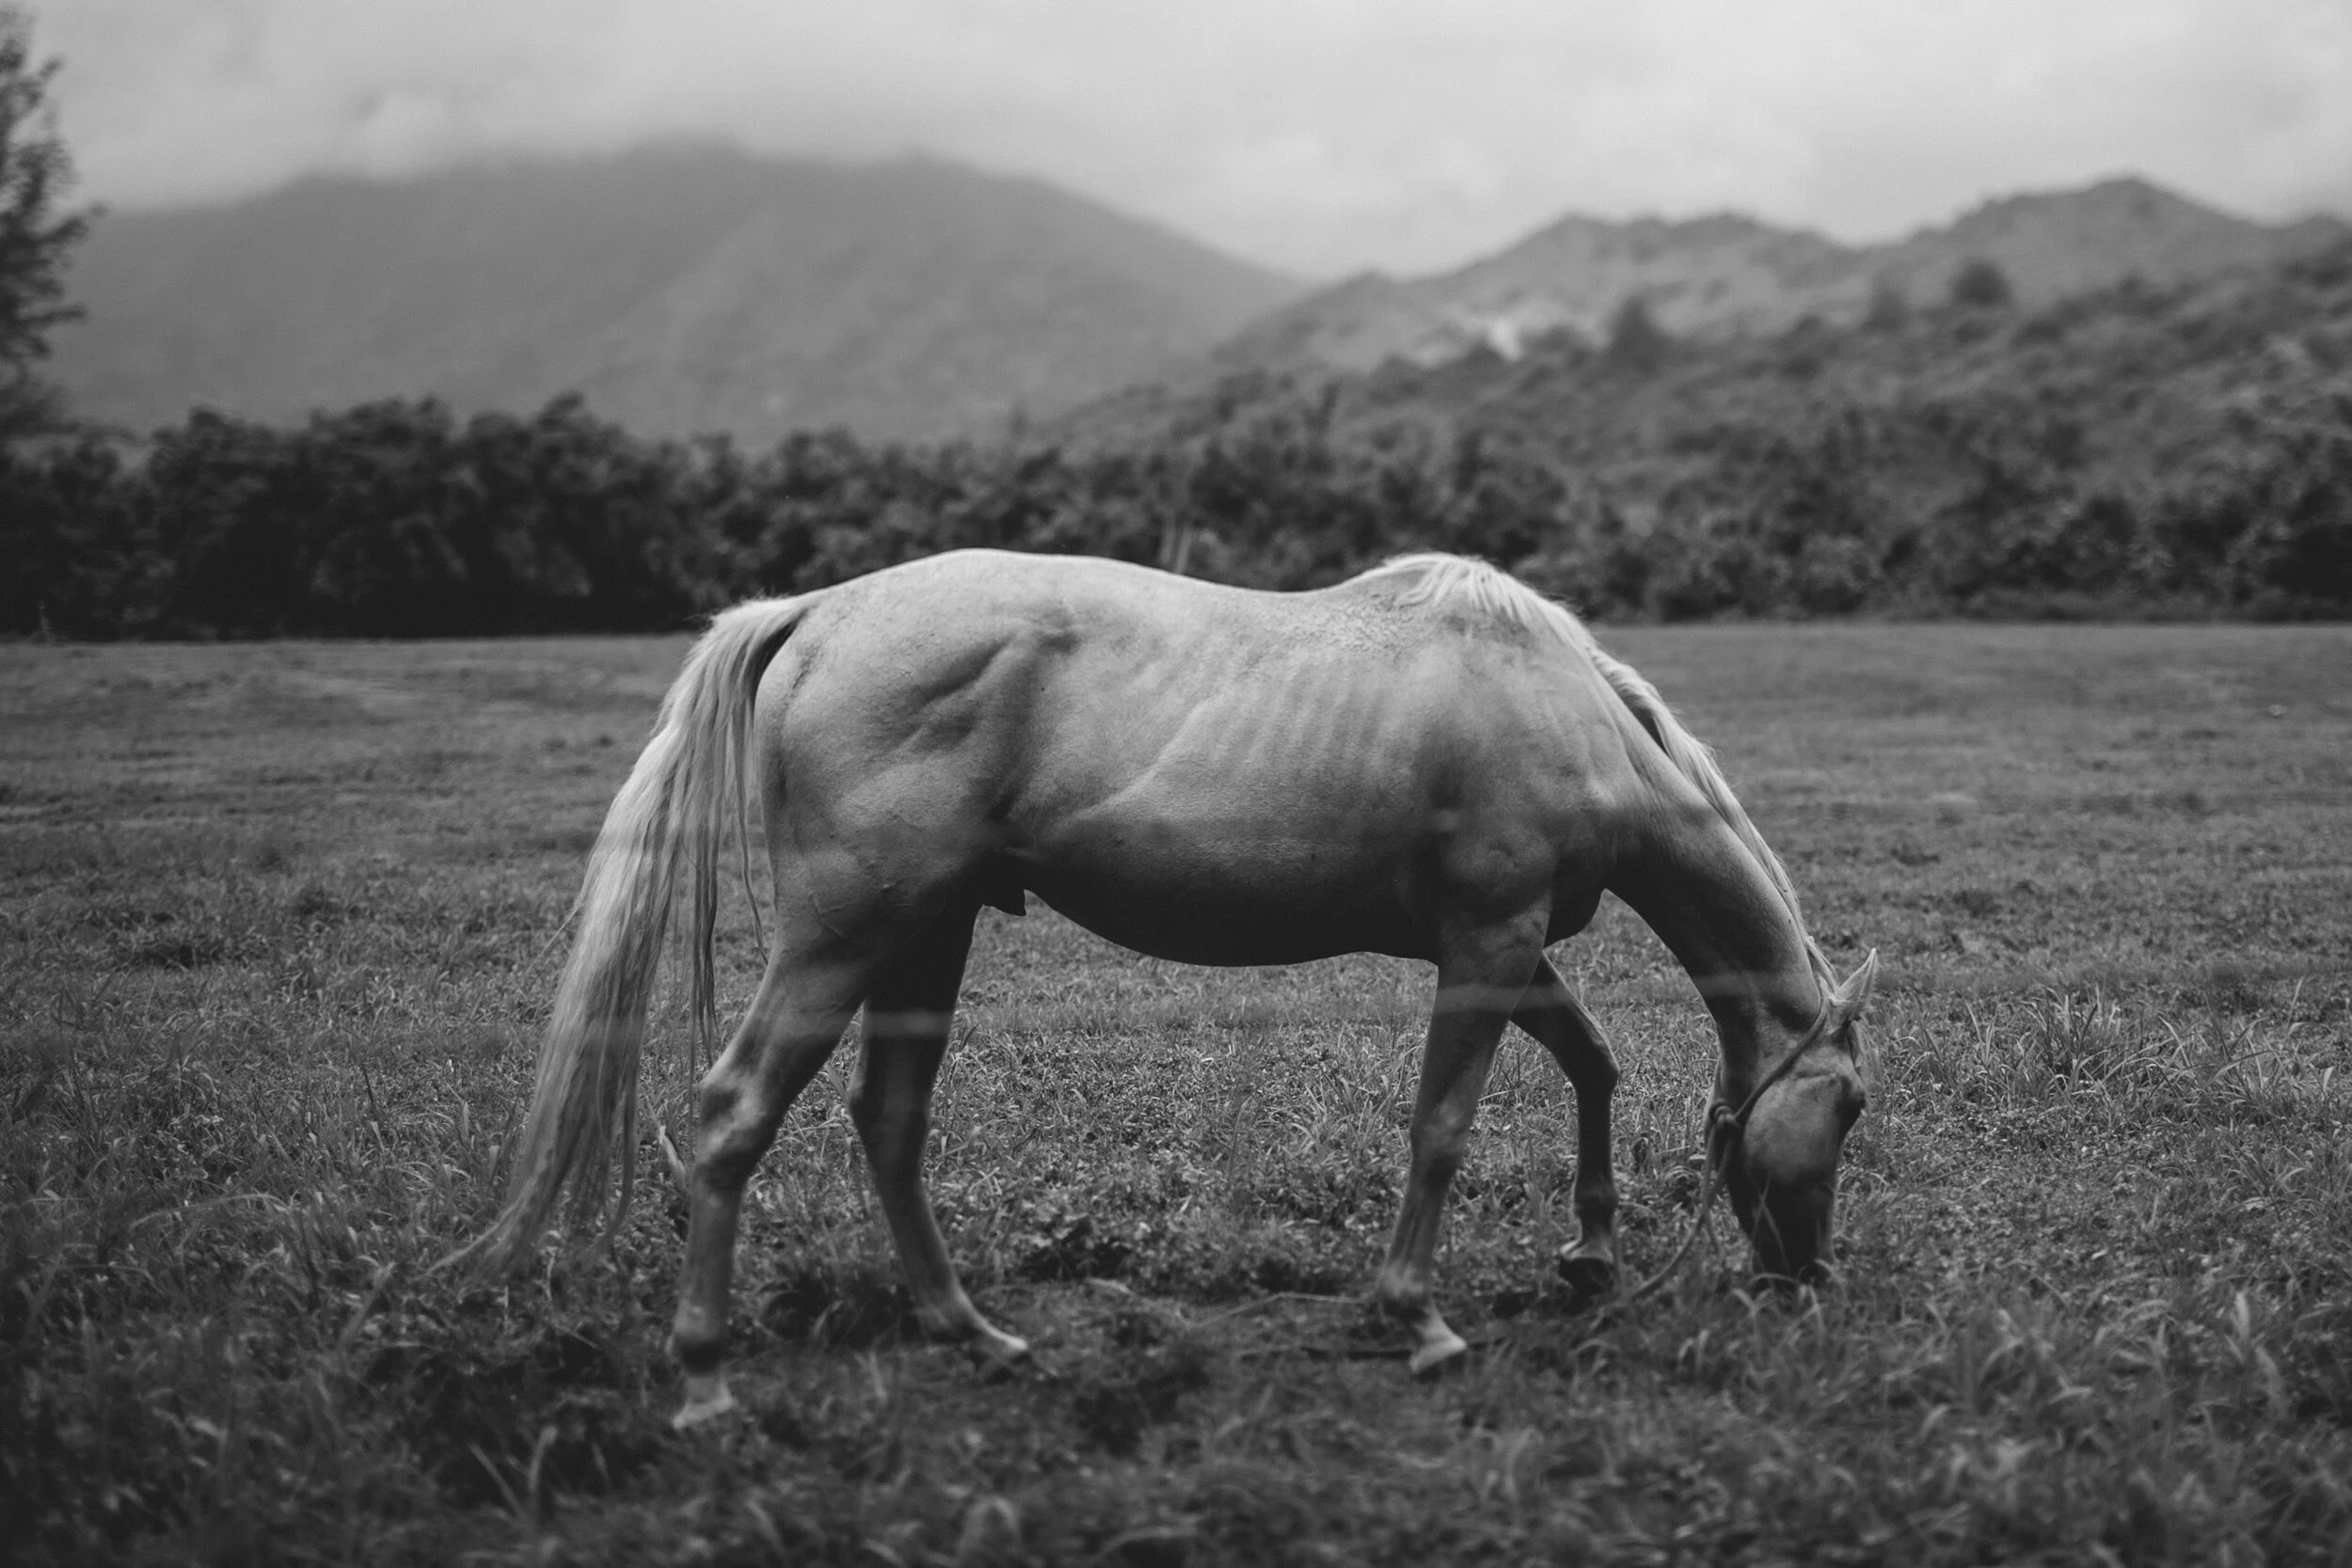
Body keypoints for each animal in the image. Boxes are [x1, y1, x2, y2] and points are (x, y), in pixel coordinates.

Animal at [459, 548, 1877, 1428]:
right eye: (1854, 1106)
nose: (1807, 1278)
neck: (1565, 710)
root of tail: (813, 612)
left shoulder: (1506, 946)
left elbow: (1590, 1060)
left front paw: (1588, 1249)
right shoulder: (1487, 939)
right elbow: (1442, 1128)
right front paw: (1416, 1315)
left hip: (923, 937)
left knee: (889, 1122)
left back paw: (970, 1329)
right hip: (844, 938)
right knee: (734, 1111)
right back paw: (706, 1379)